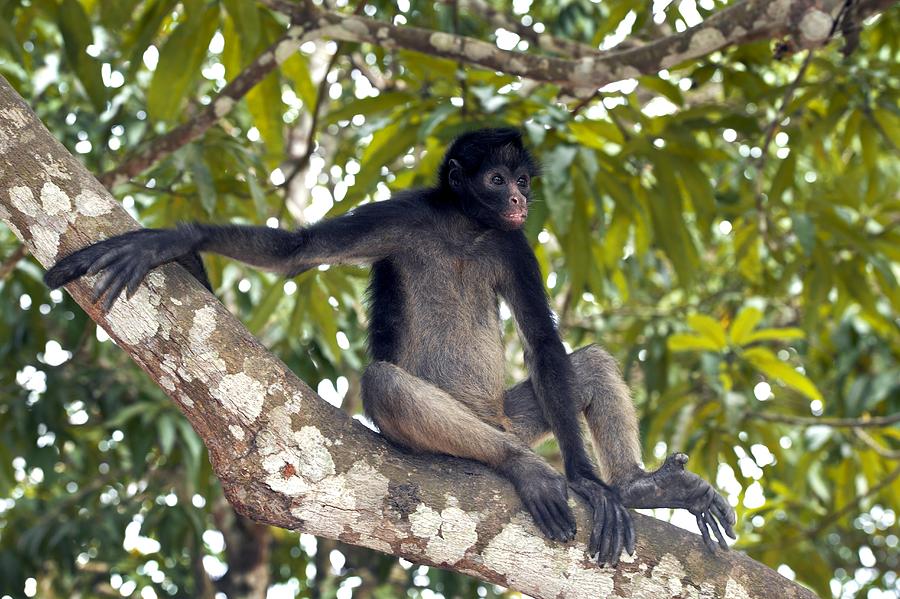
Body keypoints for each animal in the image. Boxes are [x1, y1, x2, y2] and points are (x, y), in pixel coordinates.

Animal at [45, 128, 736, 564]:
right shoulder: (406, 216)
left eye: (520, 180)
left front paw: (592, 484)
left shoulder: (513, 241)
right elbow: (297, 253)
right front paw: (171, 241)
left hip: (512, 413)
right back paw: (524, 466)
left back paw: (636, 487)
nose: (518, 196)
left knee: (582, 364)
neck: (464, 227)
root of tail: (489, 421)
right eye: (497, 177)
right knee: (384, 382)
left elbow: (546, 346)